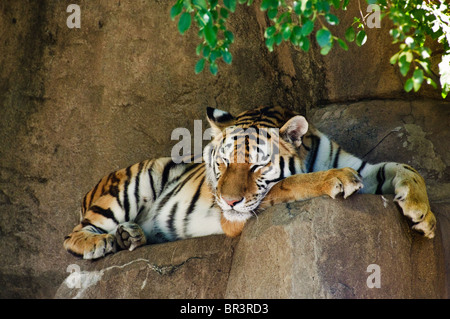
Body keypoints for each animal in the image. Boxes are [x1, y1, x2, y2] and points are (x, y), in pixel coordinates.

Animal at [63, 105, 436, 260]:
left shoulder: (364, 165)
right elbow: (292, 182)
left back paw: (130, 235)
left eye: (257, 166)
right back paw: (102, 242)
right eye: (224, 162)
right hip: (136, 180)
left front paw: (423, 216)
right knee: (72, 235)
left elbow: (405, 167)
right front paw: (337, 179)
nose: (227, 202)